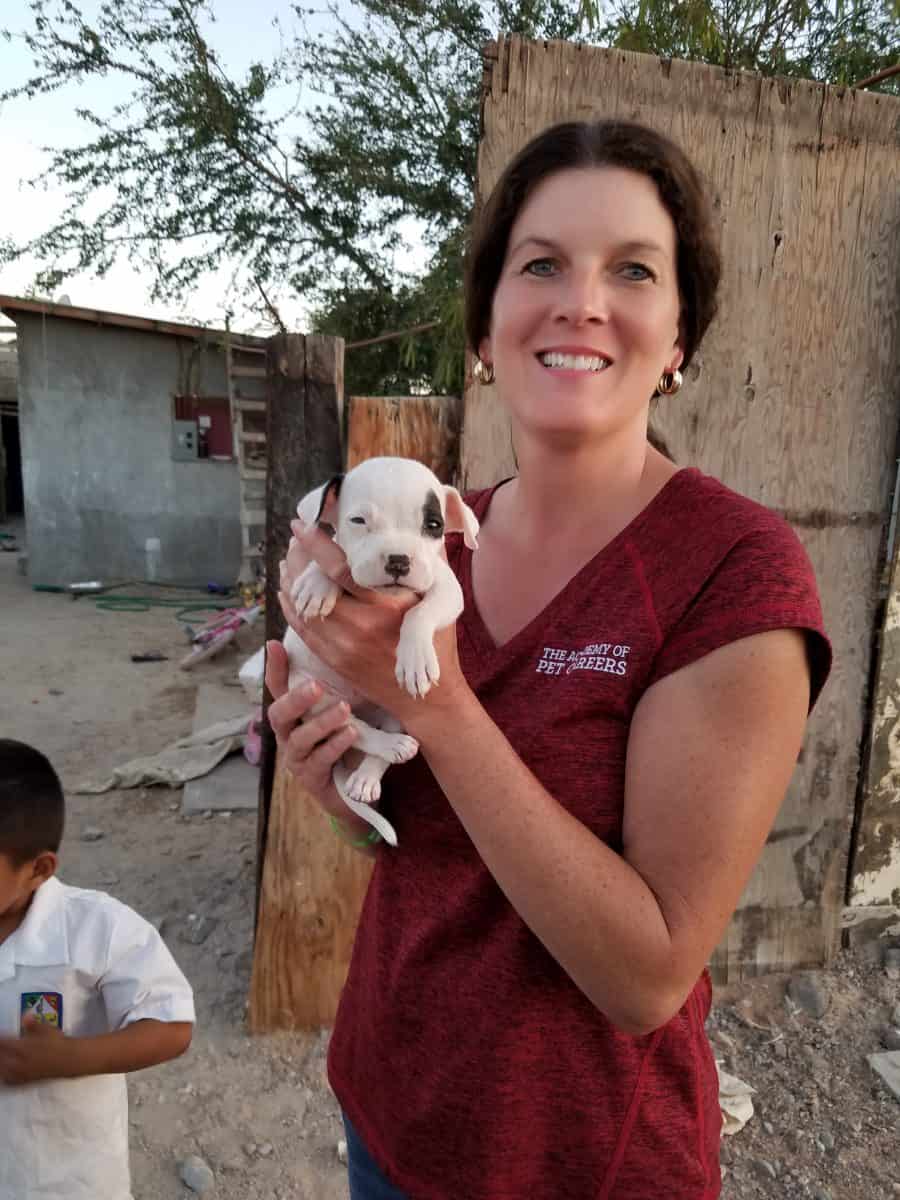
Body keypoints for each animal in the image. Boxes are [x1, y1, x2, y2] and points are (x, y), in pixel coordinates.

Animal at [283, 456, 482, 844]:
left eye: (433, 525)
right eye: (359, 521)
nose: (398, 560)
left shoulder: (447, 588)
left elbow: (422, 612)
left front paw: (416, 660)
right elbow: (335, 555)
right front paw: (317, 583)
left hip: (401, 713)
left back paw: (373, 770)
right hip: (311, 691)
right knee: (352, 727)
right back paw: (382, 748)